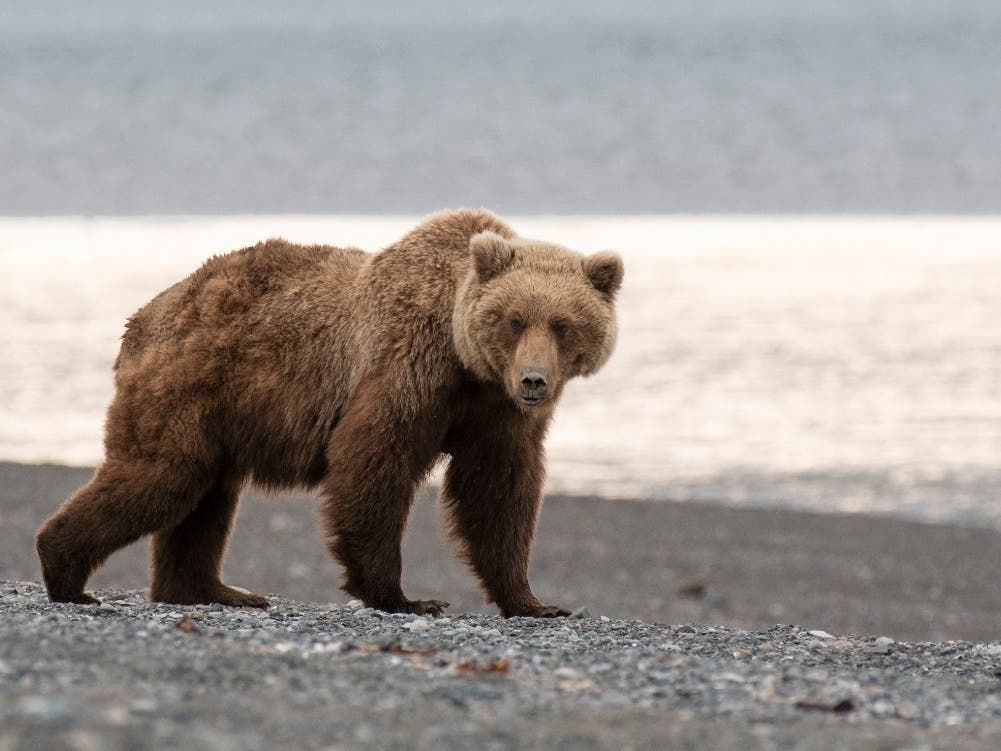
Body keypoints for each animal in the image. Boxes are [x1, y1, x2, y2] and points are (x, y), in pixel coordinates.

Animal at [35, 209, 624, 618]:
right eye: (515, 319)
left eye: (564, 324)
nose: (534, 381)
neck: (466, 362)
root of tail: (144, 316)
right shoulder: (407, 365)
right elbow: (372, 460)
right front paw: (402, 597)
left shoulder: (494, 412)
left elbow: (498, 489)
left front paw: (534, 602)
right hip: (189, 385)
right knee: (162, 477)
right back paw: (66, 574)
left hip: (219, 412)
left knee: (207, 497)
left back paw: (213, 590)